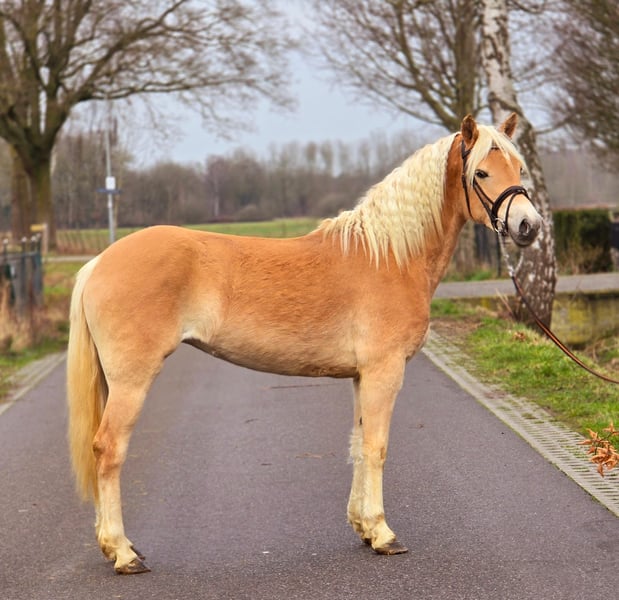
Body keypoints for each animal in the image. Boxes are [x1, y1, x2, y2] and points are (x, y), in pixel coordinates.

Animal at [67, 114, 542, 574]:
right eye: (481, 171)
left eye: (519, 168)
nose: (528, 226)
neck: (390, 256)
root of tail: (99, 262)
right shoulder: (384, 371)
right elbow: (377, 447)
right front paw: (384, 534)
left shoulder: (361, 376)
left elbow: (358, 443)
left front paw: (364, 528)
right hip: (132, 381)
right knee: (108, 450)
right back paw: (123, 553)